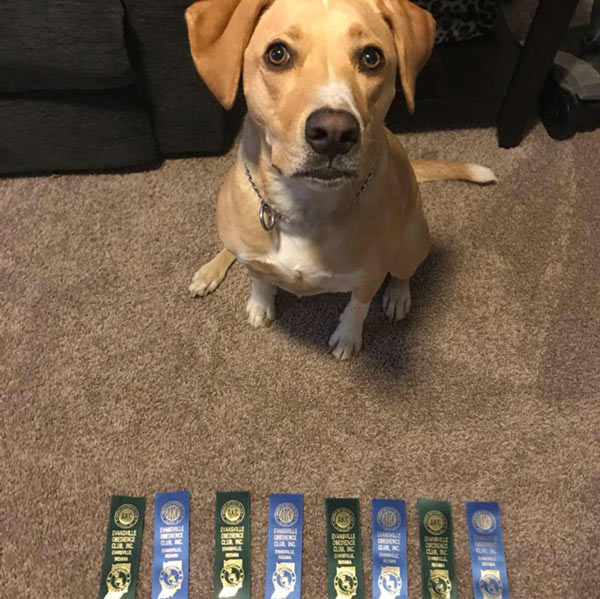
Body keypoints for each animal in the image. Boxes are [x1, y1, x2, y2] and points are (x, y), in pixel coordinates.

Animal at [185, 0, 494, 360]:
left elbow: (357, 307)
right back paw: (209, 271)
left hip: (413, 240)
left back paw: (398, 296)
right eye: (277, 54)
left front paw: (347, 338)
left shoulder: (370, 275)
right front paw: (260, 303)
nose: (334, 133)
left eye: (371, 57)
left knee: (404, 271)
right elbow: (259, 278)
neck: (303, 208)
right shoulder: (254, 256)